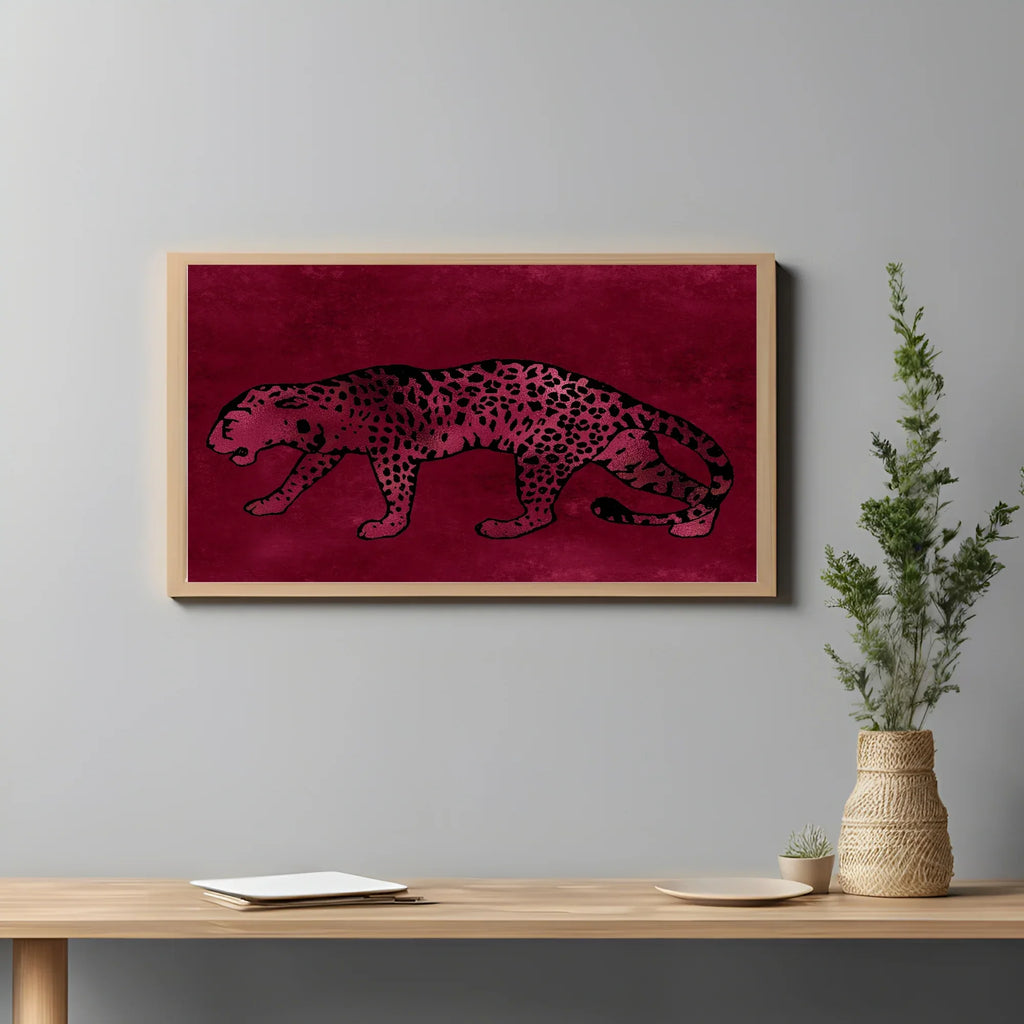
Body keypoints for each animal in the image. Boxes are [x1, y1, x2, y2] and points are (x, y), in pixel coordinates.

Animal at [206, 359, 733, 540]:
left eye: (229, 422)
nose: (210, 442)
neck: (319, 412)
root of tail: (619, 397)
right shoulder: (325, 450)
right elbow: (296, 478)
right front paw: (269, 504)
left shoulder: (393, 455)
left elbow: (396, 493)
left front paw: (387, 526)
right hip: (632, 459)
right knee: (694, 489)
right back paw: (695, 526)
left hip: (540, 457)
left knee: (543, 513)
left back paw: (501, 528)